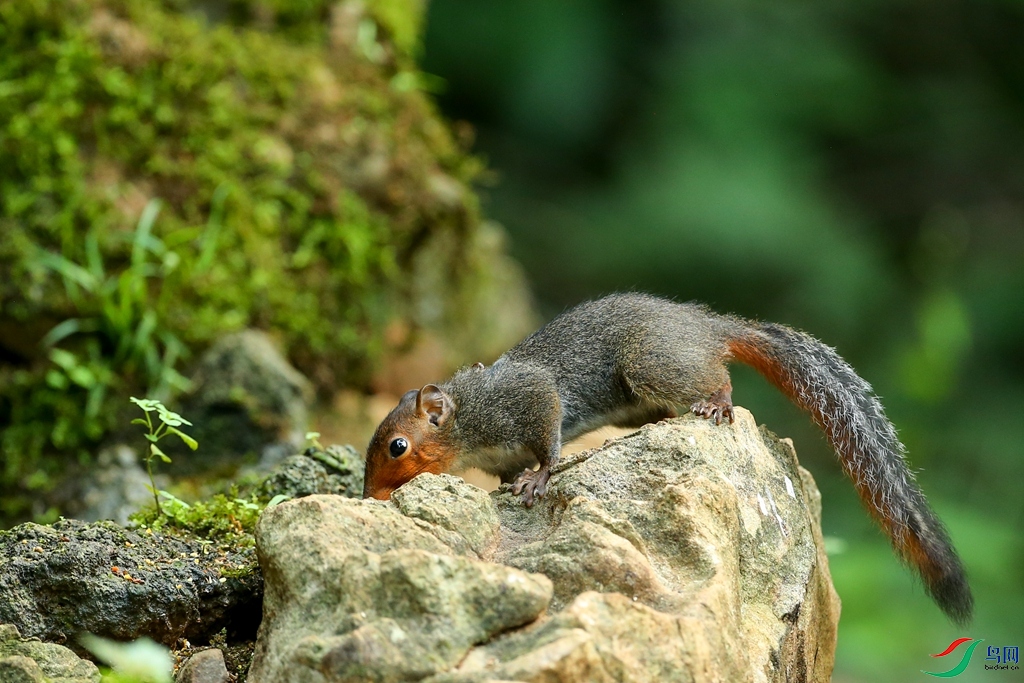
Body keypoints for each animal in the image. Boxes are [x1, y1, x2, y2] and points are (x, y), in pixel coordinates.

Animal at [364, 294, 970, 626]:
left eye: (397, 446)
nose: (370, 496)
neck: (467, 421)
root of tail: (706, 326)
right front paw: (511, 485)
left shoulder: (526, 400)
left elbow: (548, 439)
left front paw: (539, 479)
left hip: (651, 362)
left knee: (717, 377)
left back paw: (717, 403)